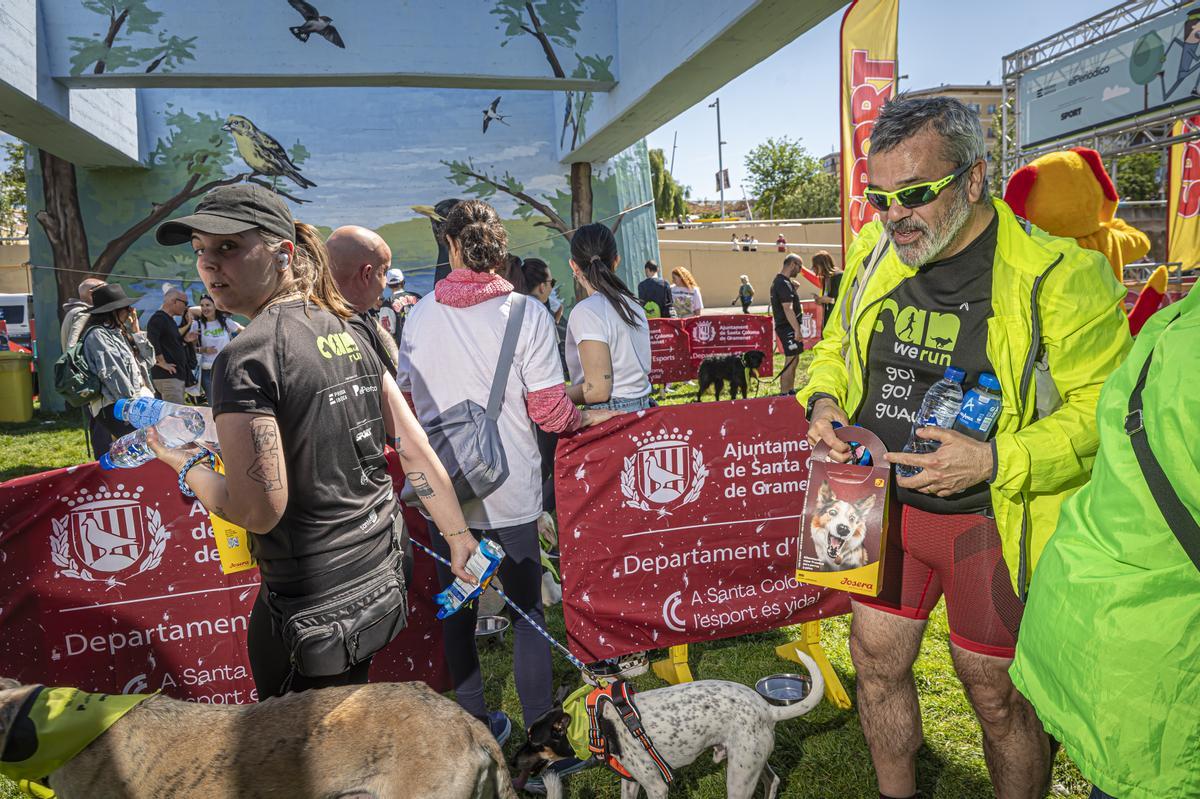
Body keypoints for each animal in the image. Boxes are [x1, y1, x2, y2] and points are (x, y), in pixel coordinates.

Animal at [511, 647, 830, 796]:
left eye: (534, 741)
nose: (511, 761)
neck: (598, 724)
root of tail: (767, 709)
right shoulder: (631, 782)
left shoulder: (656, 787)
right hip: (749, 761)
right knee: (772, 779)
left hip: (738, 777)